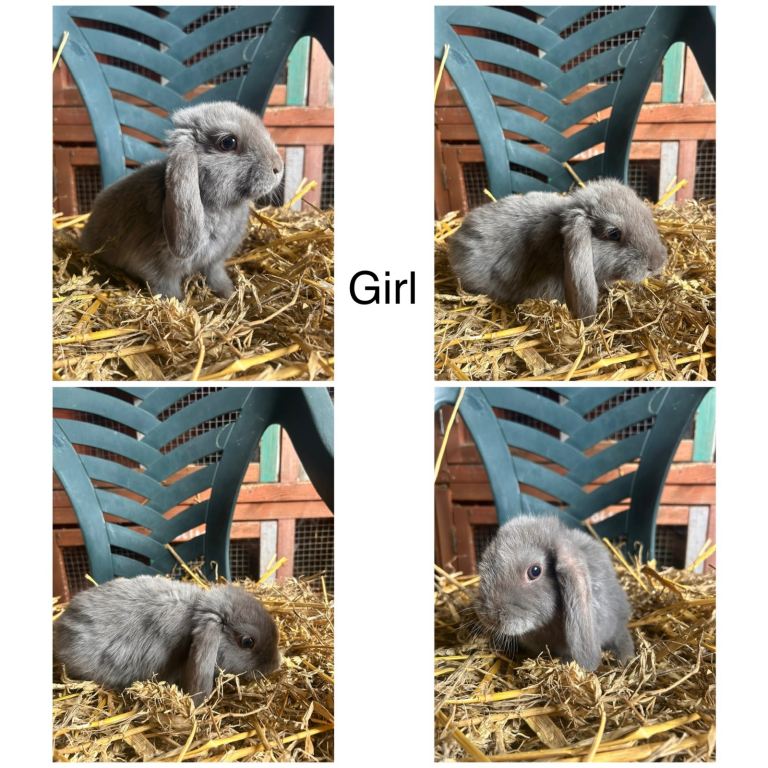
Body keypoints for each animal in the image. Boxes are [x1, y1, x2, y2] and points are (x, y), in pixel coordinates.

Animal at [80, 101, 284, 300]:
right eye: (228, 142)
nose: (278, 167)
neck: (219, 207)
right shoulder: (156, 268)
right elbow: (166, 287)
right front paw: (178, 303)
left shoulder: (214, 262)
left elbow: (216, 276)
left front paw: (228, 293)